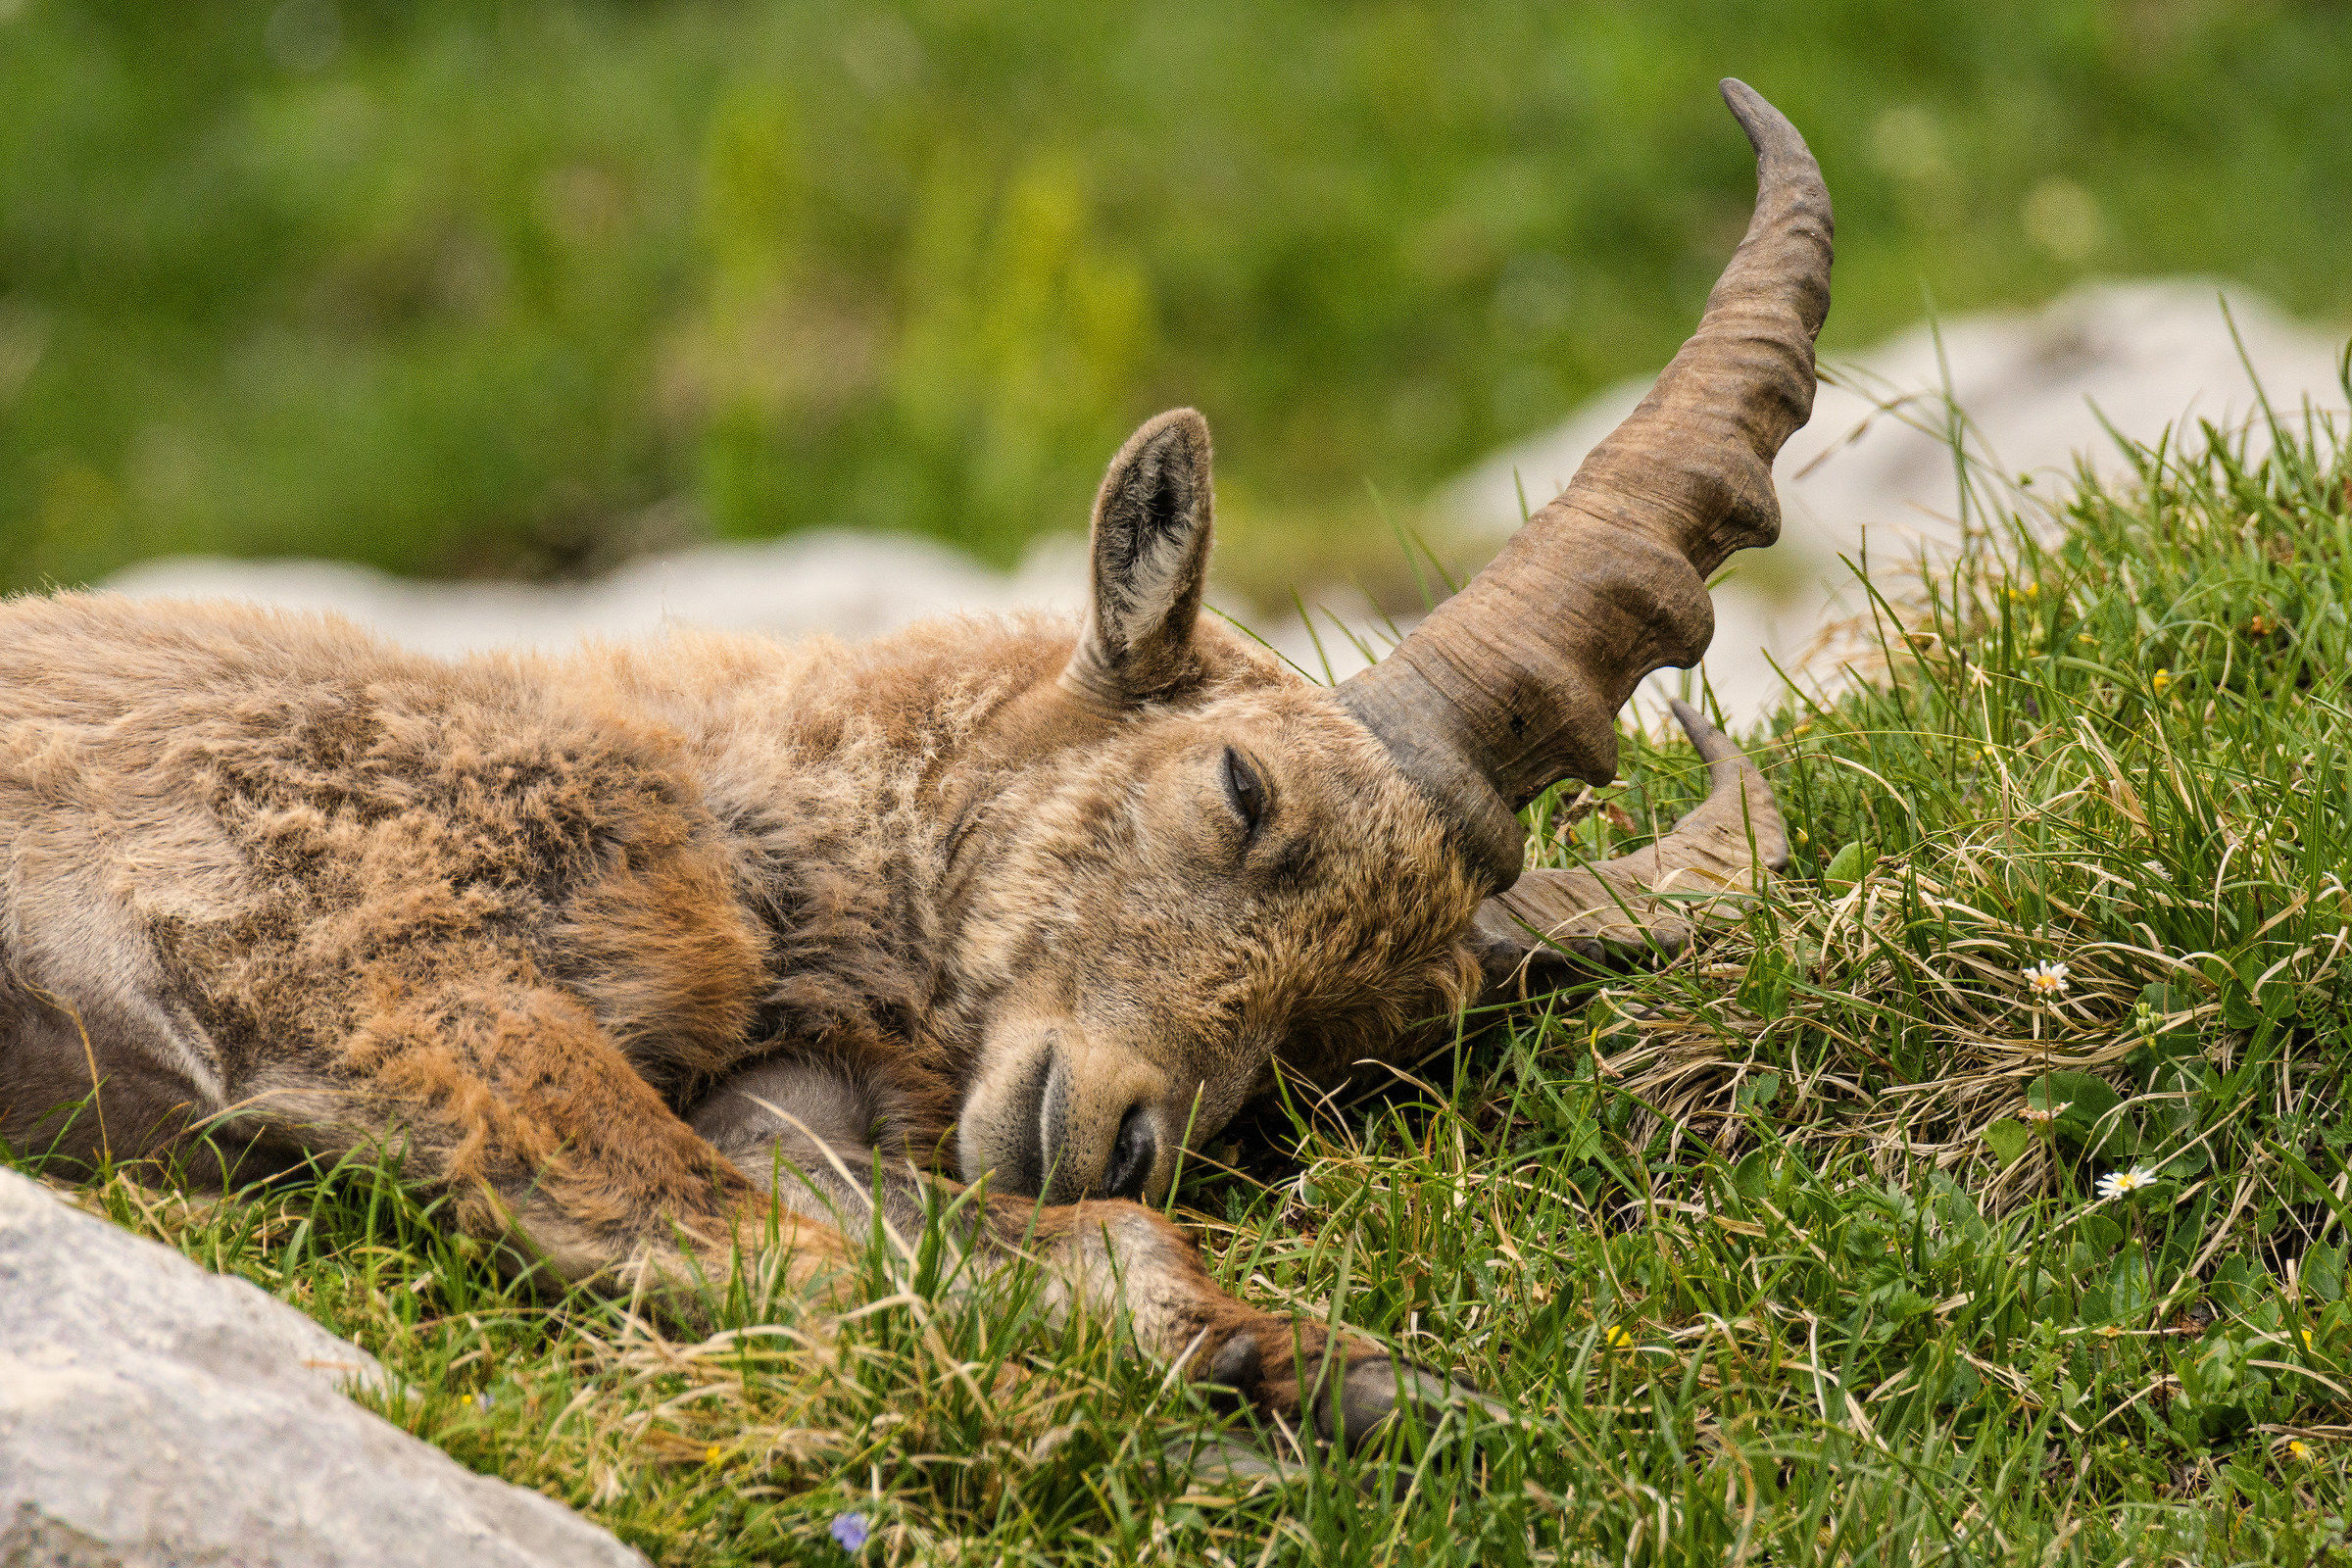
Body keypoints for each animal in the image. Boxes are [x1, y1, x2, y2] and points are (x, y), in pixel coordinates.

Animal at [0, 81, 1826, 1457]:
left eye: (1351, 1044)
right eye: (1241, 787)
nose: (1120, 1137)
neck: (730, 827)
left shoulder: (774, 1097)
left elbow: (961, 1231)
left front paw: (1351, 1374)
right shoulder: (370, 954)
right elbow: (728, 1238)